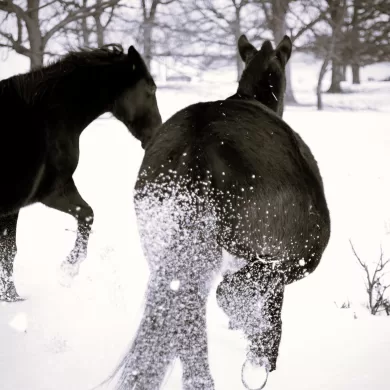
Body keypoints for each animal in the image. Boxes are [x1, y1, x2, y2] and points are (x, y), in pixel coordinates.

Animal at [0, 43, 161, 302]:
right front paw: (67, 270)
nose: (157, 134)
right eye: (151, 88)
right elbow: (87, 214)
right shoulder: (50, 191)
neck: (48, 115)